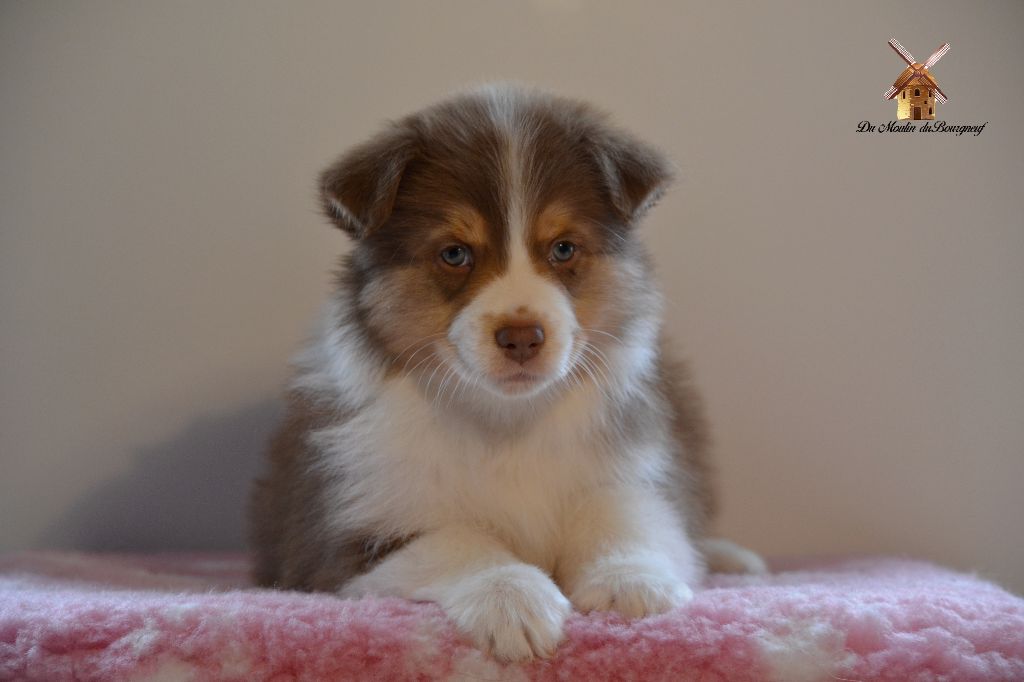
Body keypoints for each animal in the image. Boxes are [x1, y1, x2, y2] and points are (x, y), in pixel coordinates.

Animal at [249, 82, 765, 662]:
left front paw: (628, 584)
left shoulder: (635, 462)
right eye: (455, 253)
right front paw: (512, 599)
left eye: (563, 247)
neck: (507, 418)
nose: (522, 336)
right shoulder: (342, 535)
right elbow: (457, 540)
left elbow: (620, 512)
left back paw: (734, 557)